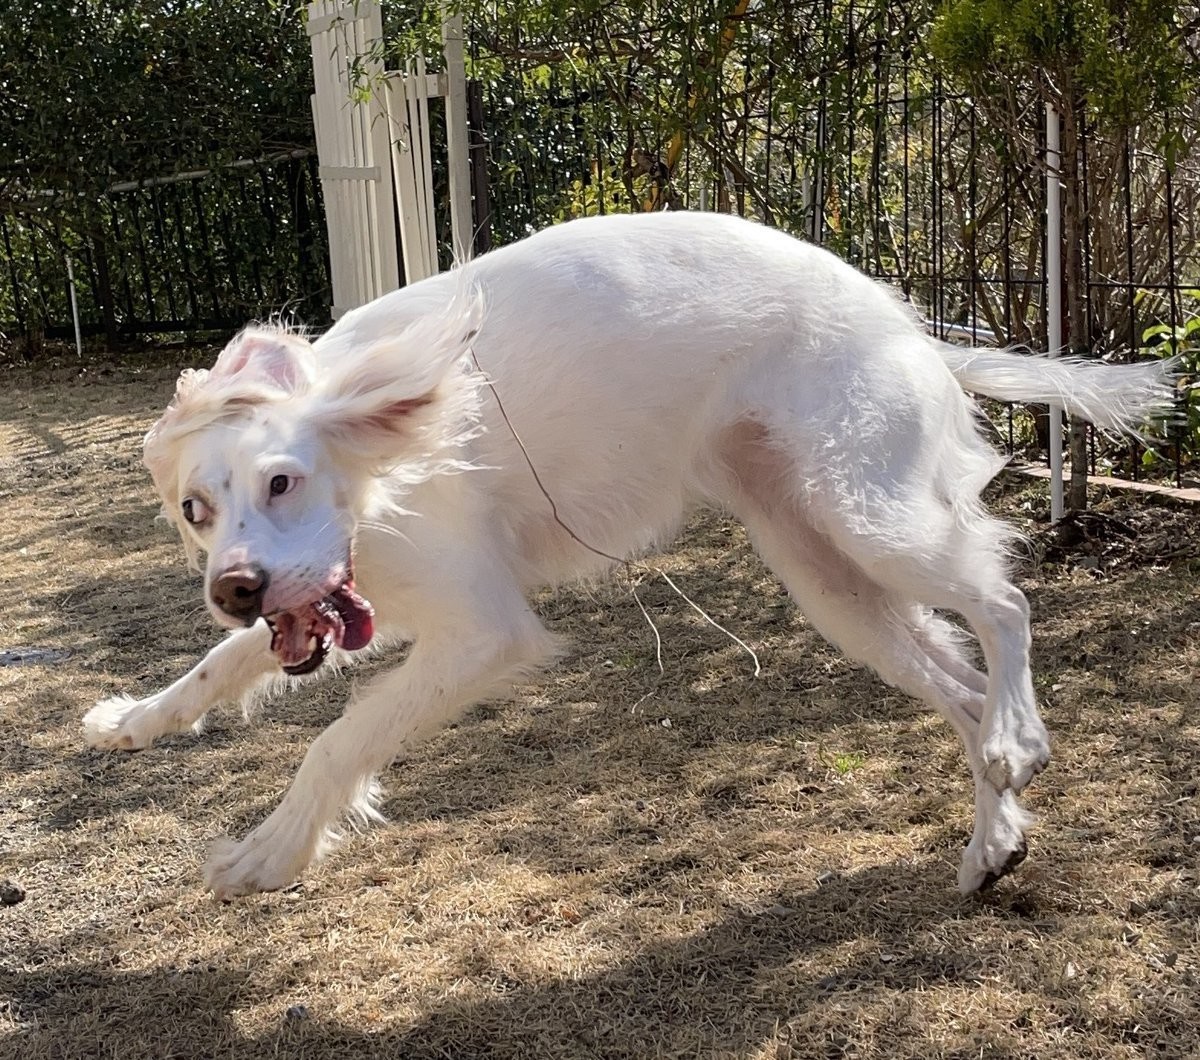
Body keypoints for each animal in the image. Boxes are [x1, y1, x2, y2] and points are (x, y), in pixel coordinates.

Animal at [84, 213, 1171, 893]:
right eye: (192, 509)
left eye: (281, 481)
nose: (234, 586)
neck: (376, 454)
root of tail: (908, 324)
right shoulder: (341, 602)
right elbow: (221, 665)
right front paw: (133, 720)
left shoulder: (485, 634)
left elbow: (336, 742)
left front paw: (264, 857)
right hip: (828, 579)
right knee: (961, 686)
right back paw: (996, 840)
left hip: (872, 518)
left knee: (1004, 604)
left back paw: (1018, 741)